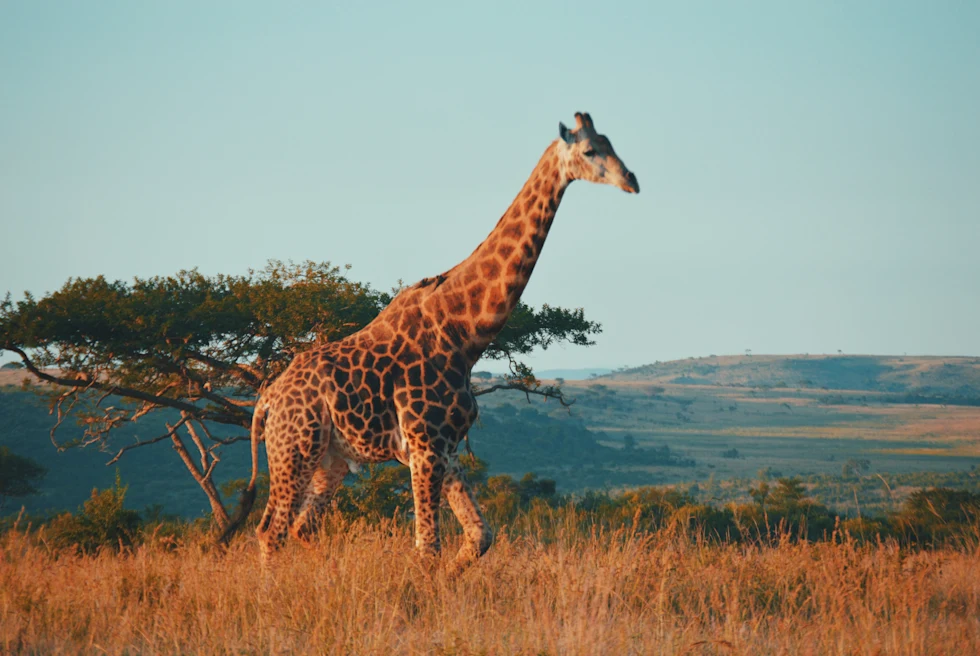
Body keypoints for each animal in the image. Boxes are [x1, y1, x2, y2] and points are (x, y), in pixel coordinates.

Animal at [239, 112, 639, 571]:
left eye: (611, 142)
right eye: (590, 150)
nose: (632, 180)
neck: (465, 332)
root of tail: (267, 401)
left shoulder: (445, 448)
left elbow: (481, 535)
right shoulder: (425, 445)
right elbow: (427, 547)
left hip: (330, 459)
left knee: (303, 527)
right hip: (294, 450)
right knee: (271, 531)